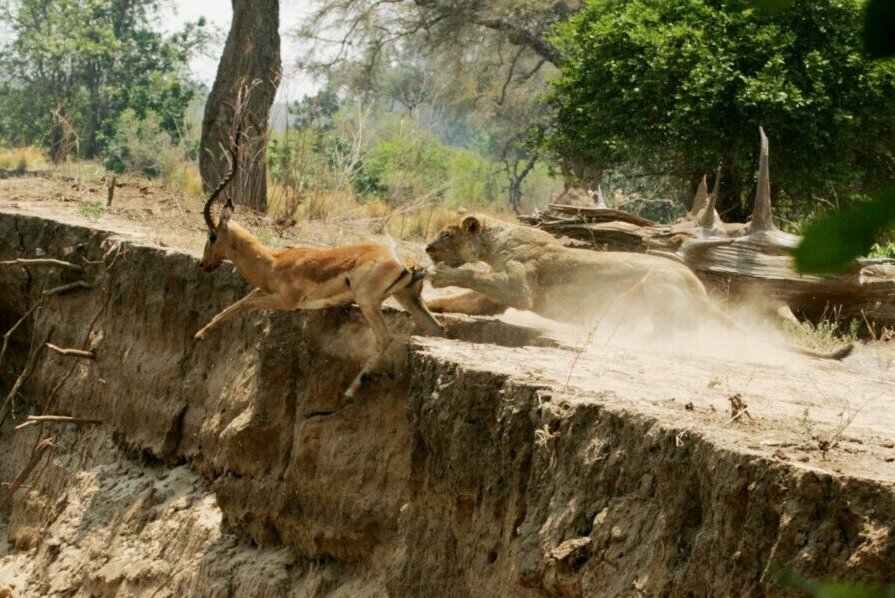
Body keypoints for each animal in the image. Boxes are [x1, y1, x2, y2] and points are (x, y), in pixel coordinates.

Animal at [425, 214, 852, 360]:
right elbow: (470, 298)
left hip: (653, 285)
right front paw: (438, 307)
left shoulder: (518, 285)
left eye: (446, 234)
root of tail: (699, 289)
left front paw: (438, 277)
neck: (495, 242)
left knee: (671, 330)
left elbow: (473, 277)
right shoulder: (500, 293)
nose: (427, 248)